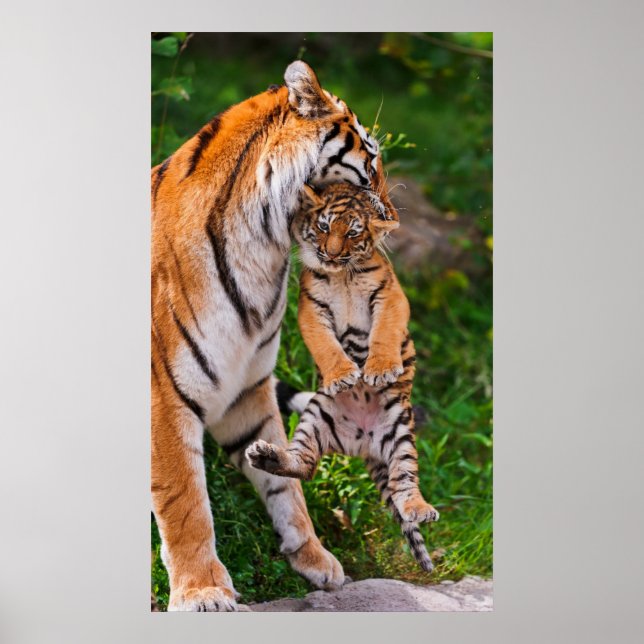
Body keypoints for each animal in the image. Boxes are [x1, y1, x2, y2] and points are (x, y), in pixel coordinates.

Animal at [151, 60, 397, 611]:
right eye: (370, 161)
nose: (393, 220)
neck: (265, 249)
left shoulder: (248, 385)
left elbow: (284, 483)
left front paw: (313, 556)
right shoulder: (166, 395)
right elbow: (184, 501)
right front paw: (203, 591)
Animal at [245, 182, 439, 572]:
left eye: (352, 233)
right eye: (323, 226)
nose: (331, 254)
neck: (343, 275)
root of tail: (362, 444)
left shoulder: (390, 295)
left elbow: (385, 332)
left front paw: (379, 369)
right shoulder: (310, 307)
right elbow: (325, 345)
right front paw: (343, 375)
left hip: (400, 429)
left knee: (404, 481)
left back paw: (420, 509)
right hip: (316, 417)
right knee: (305, 466)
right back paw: (268, 457)